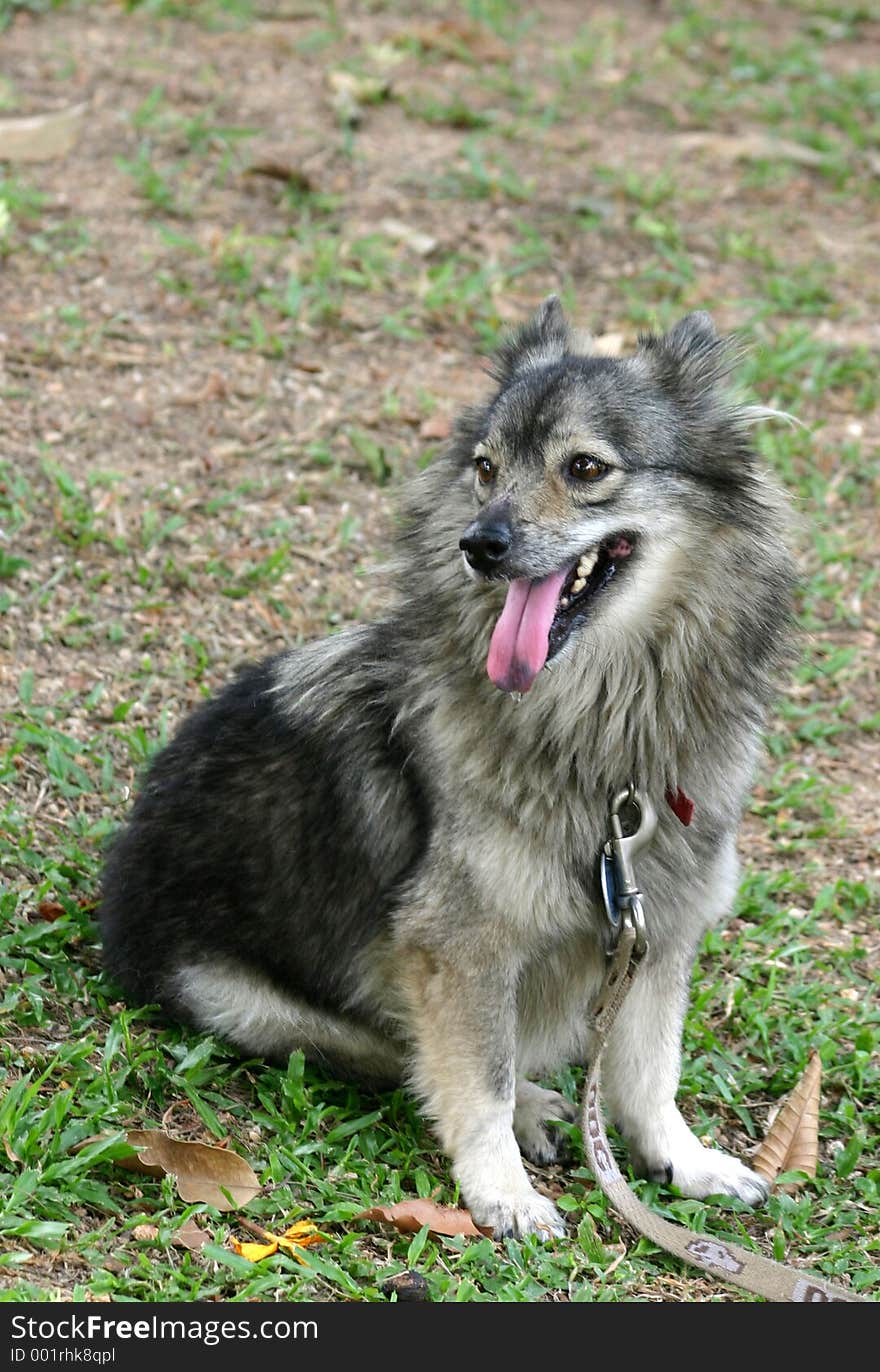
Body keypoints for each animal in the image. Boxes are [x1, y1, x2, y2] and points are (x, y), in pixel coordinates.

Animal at [99, 303, 790, 1245]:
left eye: (585, 468)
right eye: (485, 468)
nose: (480, 544)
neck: (603, 729)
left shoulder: (659, 927)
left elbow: (650, 1071)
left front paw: (682, 1162)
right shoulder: (457, 946)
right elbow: (479, 1079)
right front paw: (502, 1193)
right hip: (249, 1001)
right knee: (395, 1052)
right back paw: (533, 1107)